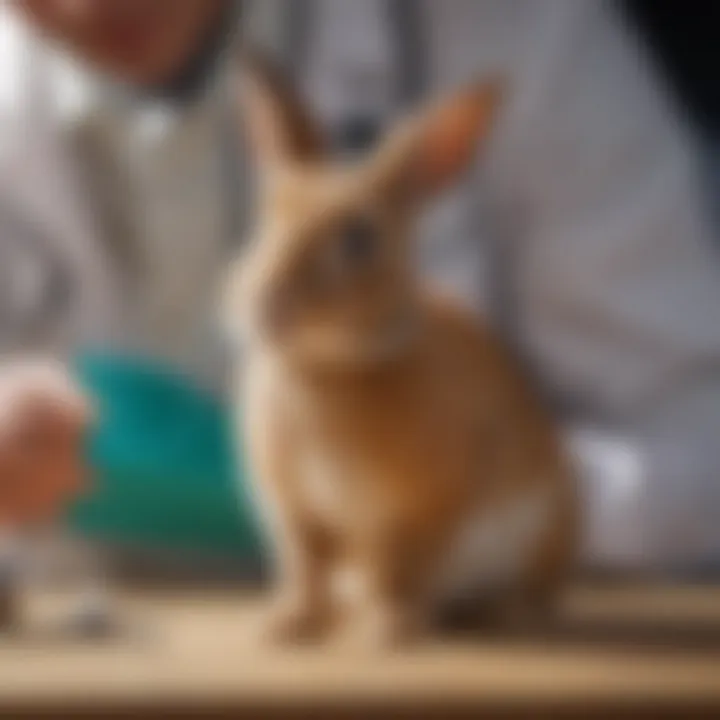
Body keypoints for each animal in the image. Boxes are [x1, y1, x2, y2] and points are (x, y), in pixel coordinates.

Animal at [225, 50, 580, 648]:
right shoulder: (297, 514)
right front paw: (284, 626)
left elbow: (395, 571)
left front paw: (383, 634)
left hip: (548, 528)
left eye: (359, 237)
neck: (326, 368)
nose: (265, 303)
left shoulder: (419, 513)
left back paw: (500, 612)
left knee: (536, 591)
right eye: (268, 215)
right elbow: (305, 569)